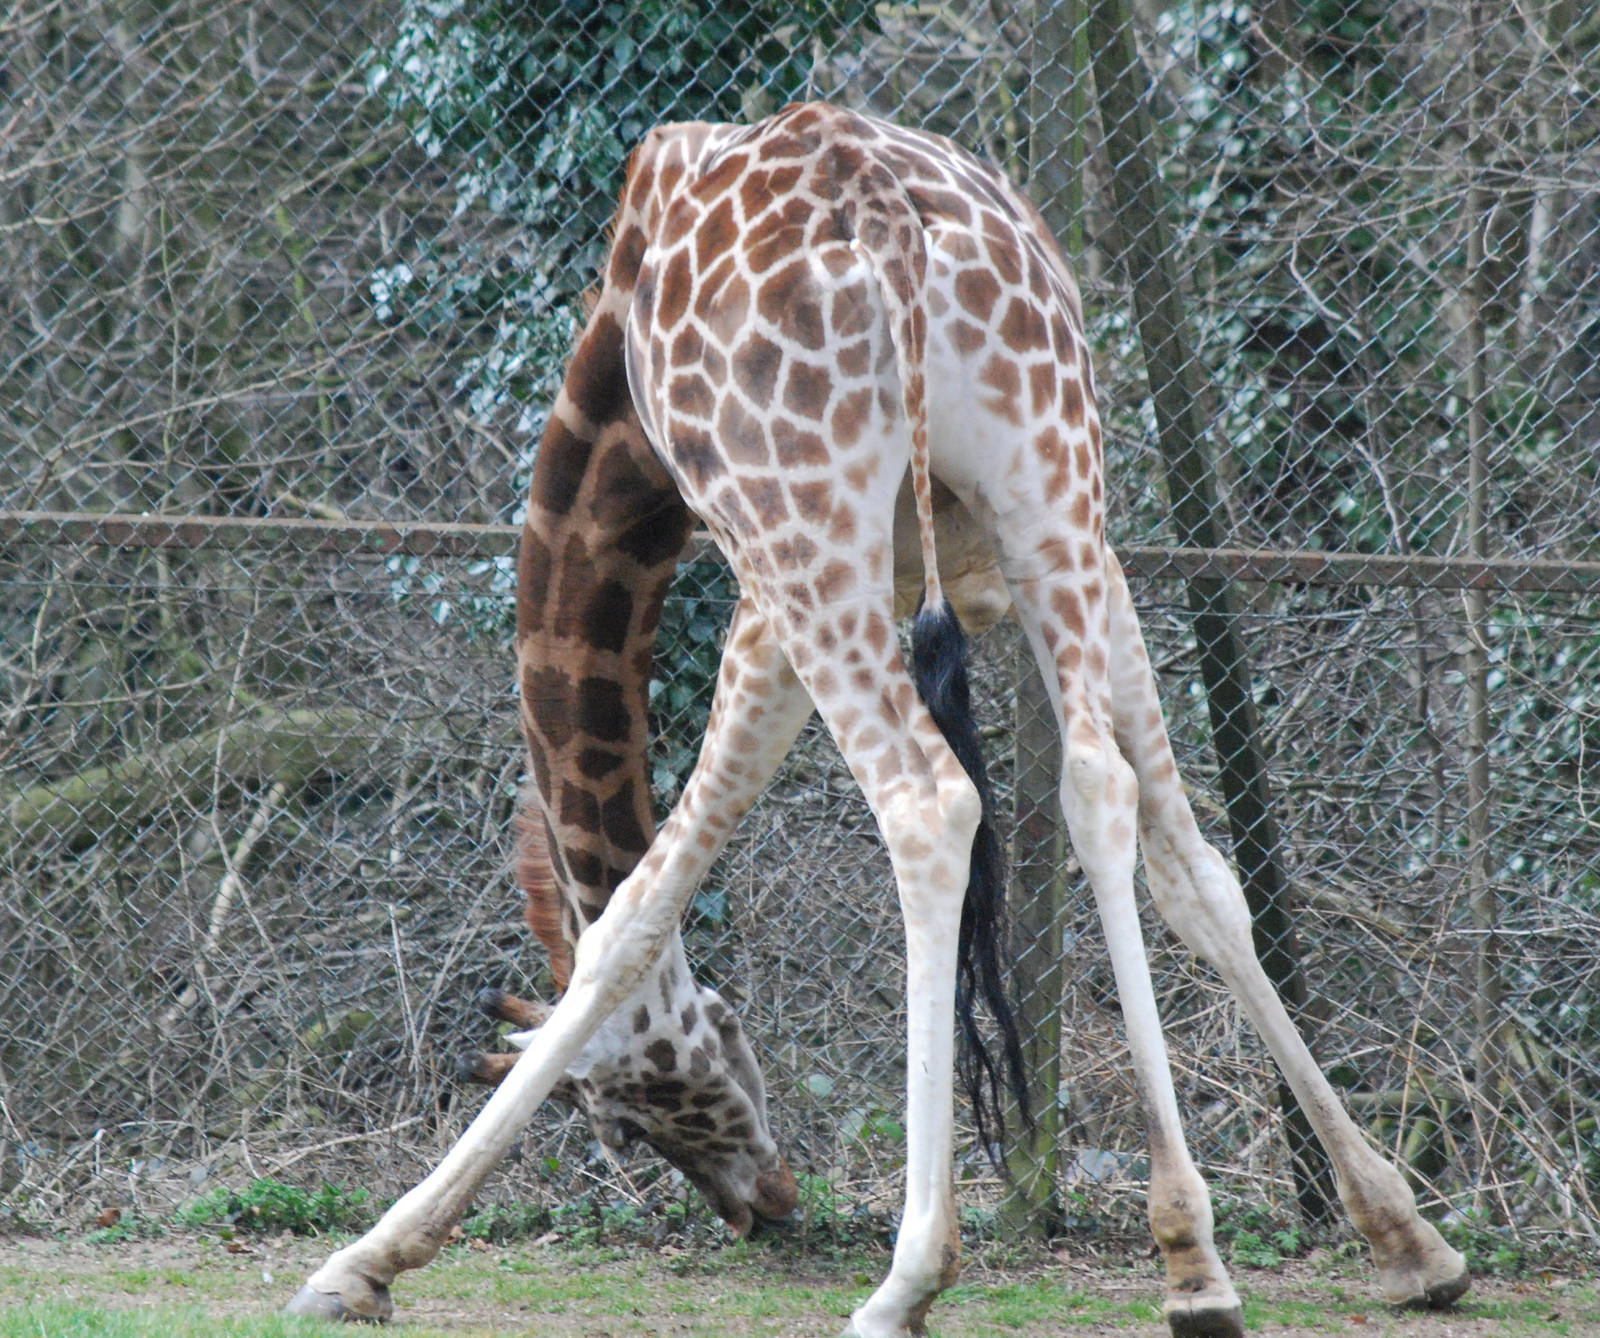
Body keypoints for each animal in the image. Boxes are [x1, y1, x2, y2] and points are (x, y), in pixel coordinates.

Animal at [286, 103, 1470, 1337]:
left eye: (621, 1113)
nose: (764, 1200)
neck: (617, 407)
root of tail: (889, 222)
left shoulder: (761, 602)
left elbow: (633, 915)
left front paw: (365, 1259)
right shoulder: (1078, 563)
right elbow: (1188, 867)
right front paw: (1397, 1238)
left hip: (808, 528)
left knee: (928, 806)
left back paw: (908, 1276)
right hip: (1053, 482)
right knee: (1098, 788)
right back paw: (1197, 1260)